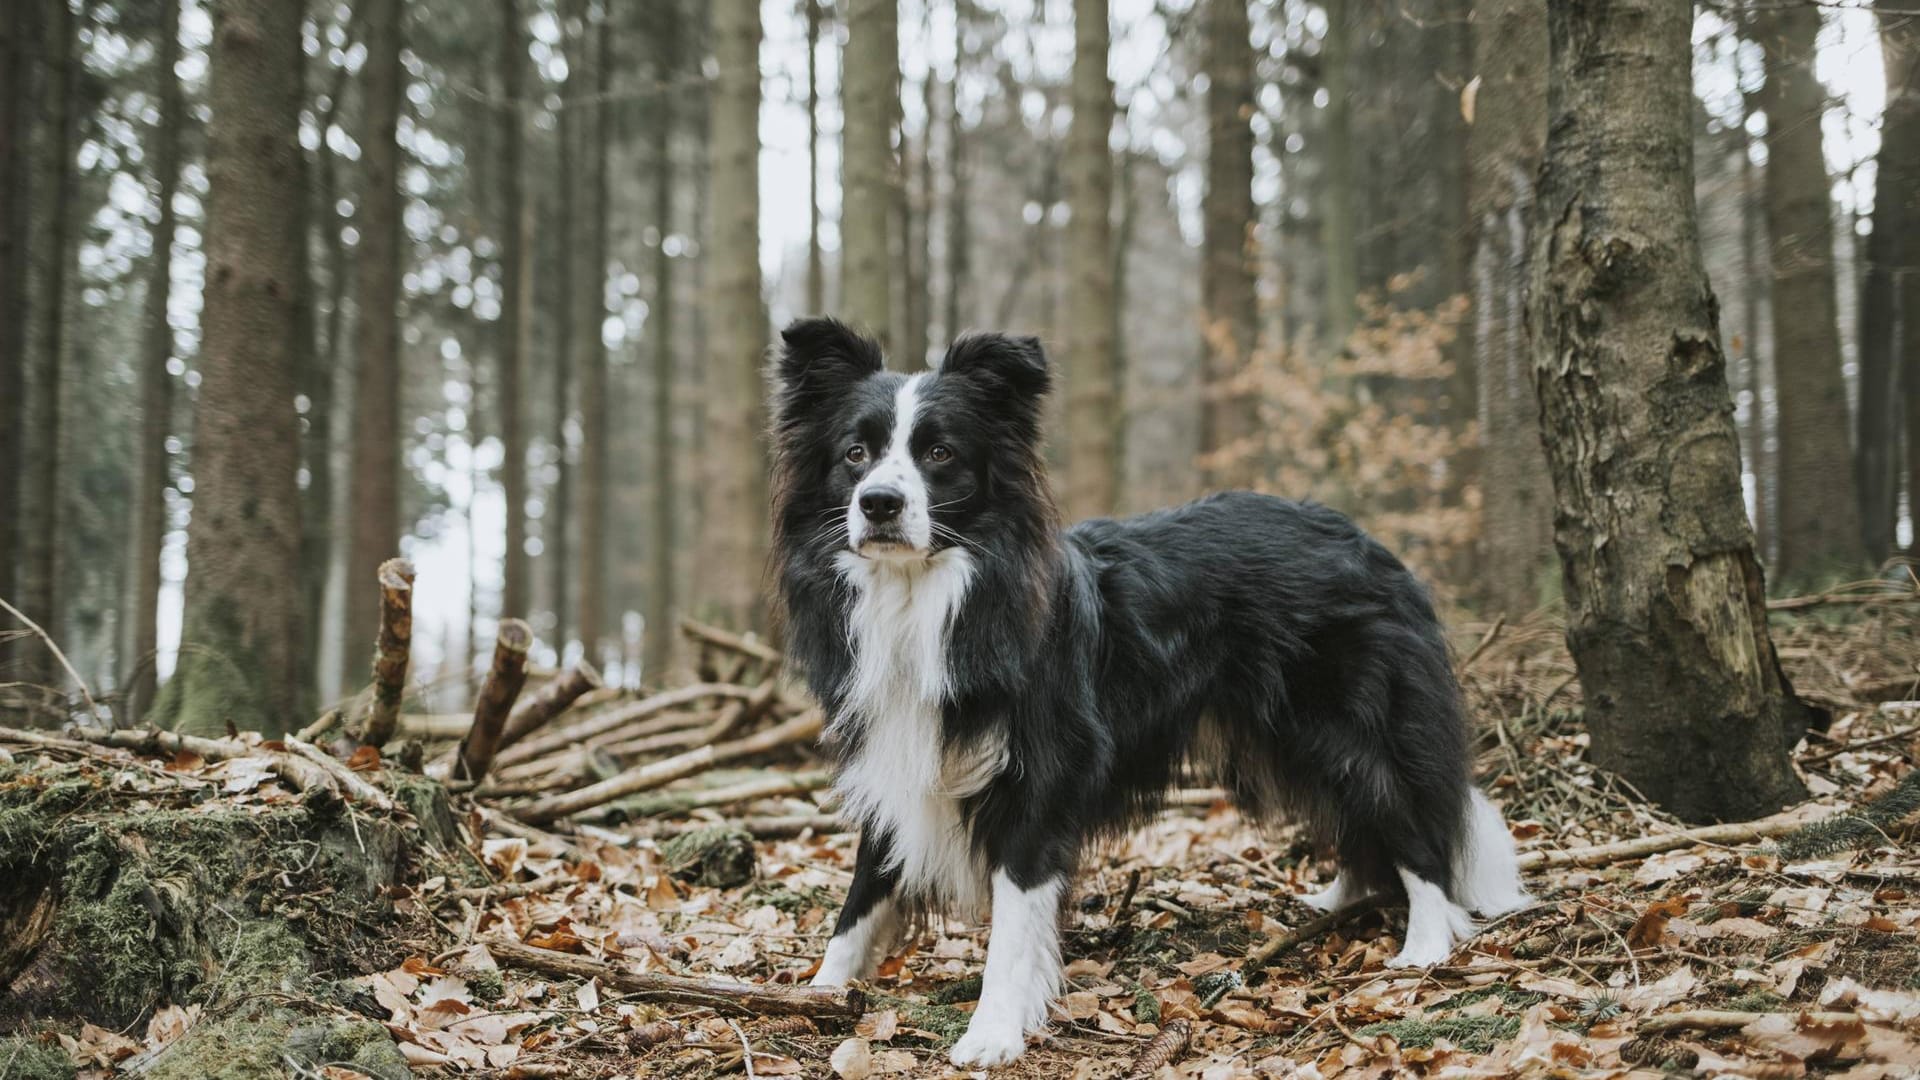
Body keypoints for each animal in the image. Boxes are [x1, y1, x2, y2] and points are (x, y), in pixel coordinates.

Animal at [764, 315, 1528, 1060]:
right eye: (854, 455)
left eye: (941, 454)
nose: (879, 504)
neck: (925, 596)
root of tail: (1371, 542)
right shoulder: (897, 750)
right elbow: (863, 890)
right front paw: (819, 990)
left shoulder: (1040, 772)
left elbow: (1014, 919)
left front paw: (993, 1032)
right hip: (1287, 734)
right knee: (1358, 814)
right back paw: (1338, 900)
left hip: (1344, 721)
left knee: (1408, 814)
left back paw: (1425, 943)